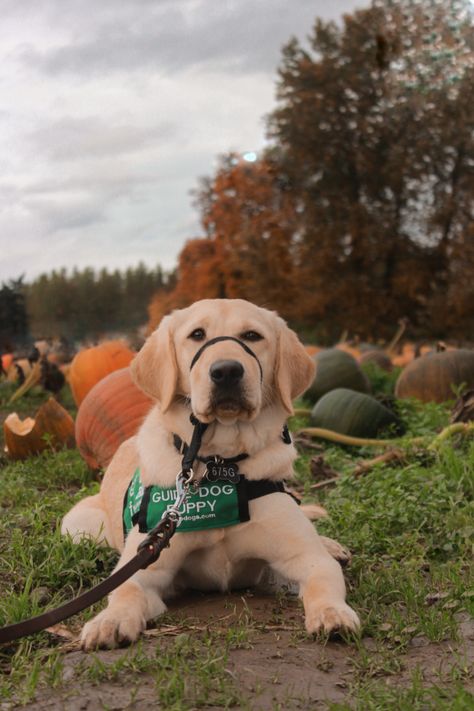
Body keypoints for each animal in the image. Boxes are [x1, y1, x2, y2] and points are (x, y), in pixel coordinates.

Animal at [63, 300, 360, 652]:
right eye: (196, 334)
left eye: (252, 335)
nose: (227, 371)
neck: (221, 465)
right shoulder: (146, 564)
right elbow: (125, 590)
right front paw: (110, 621)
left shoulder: (306, 556)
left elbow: (323, 580)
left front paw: (333, 613)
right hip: (77, 526)